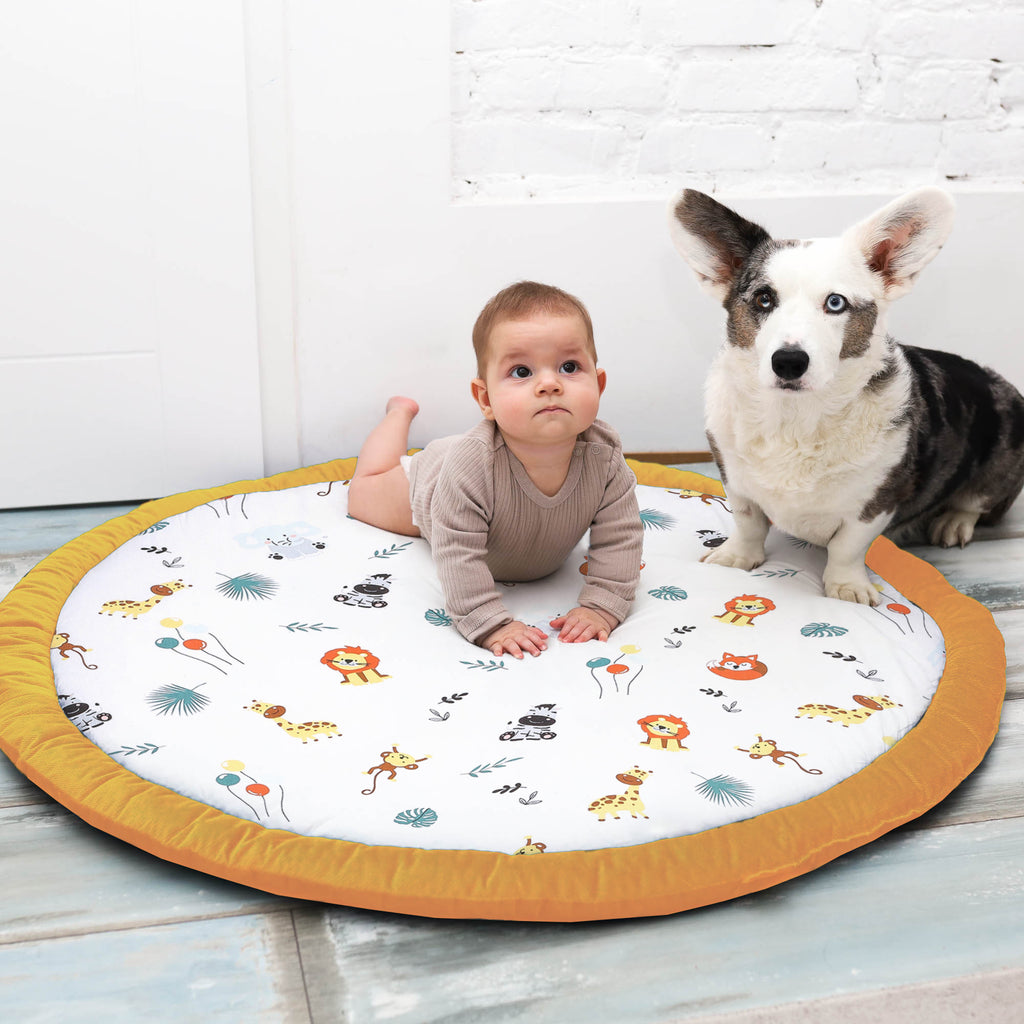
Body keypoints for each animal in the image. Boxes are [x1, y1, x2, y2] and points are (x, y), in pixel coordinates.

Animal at [667, 188, 1024, 602]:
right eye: (763, 299)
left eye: (835, 303)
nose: (788, 362)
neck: (795, 418)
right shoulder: (736, 482)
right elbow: (748, 524)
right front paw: (736, 558)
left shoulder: (876, 503)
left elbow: (847, 547)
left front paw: (847, 589)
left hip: (1004, 448)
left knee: (976, 503)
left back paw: (952, 522)